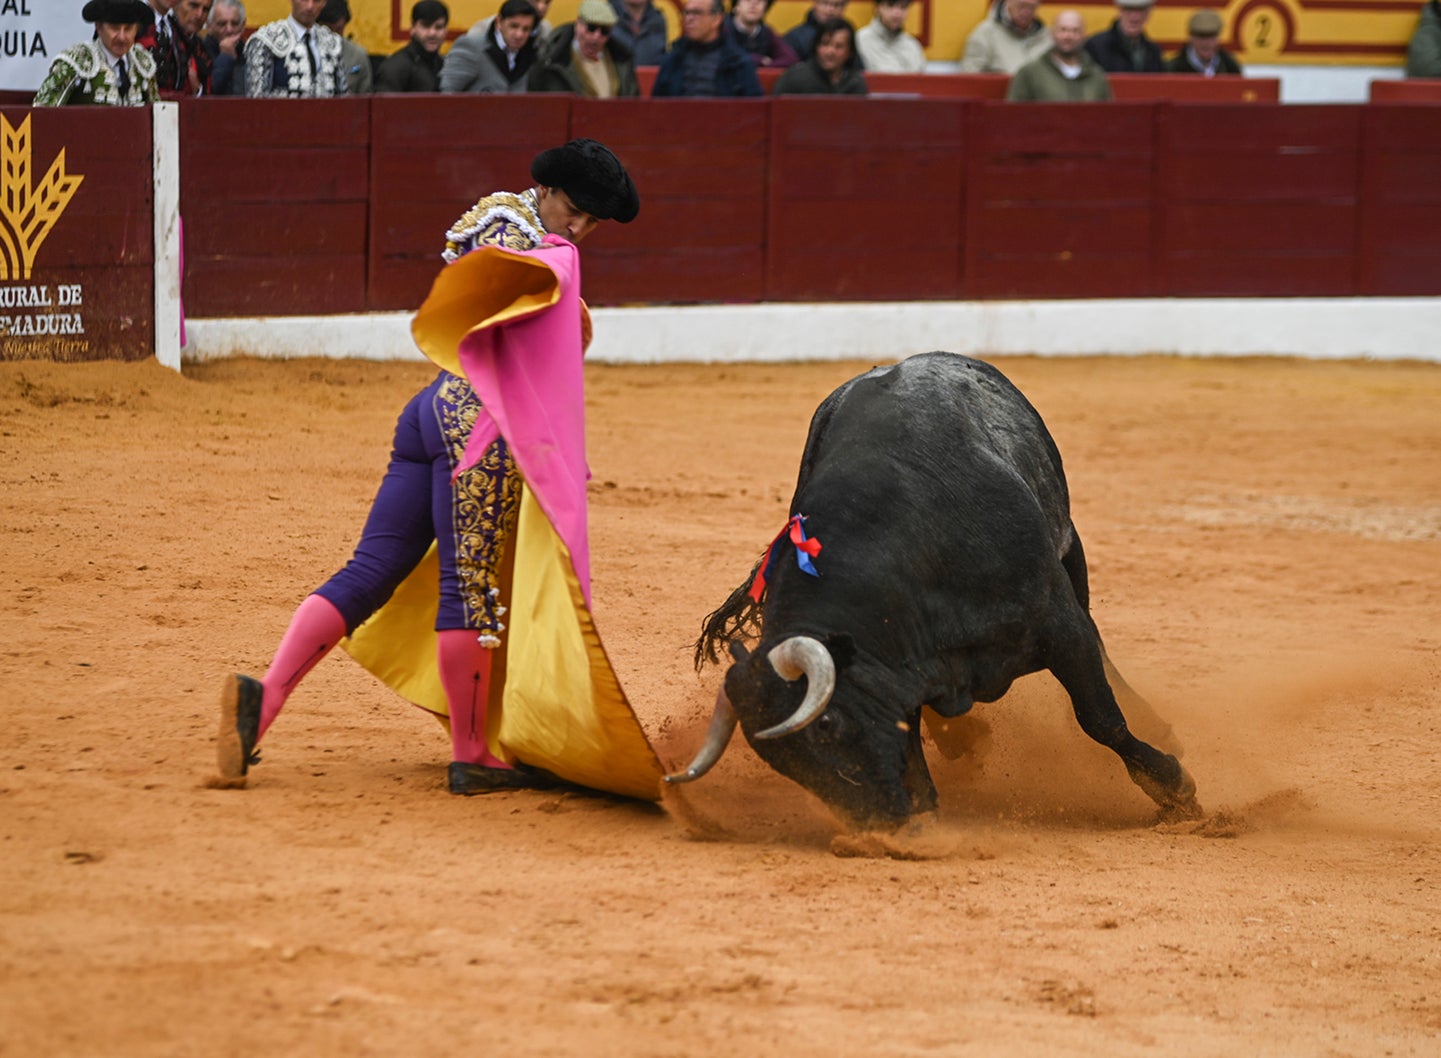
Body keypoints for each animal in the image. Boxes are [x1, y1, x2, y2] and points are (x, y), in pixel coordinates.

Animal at [668, 351, 1198, 830]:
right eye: (781, 763)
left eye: (826, 724)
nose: (878, 822)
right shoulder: (898, 668)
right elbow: (909, 732)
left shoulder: (1058, 623)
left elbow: (1100, 717)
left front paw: (1176, 790)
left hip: (1071, 549)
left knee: (1098, 643)